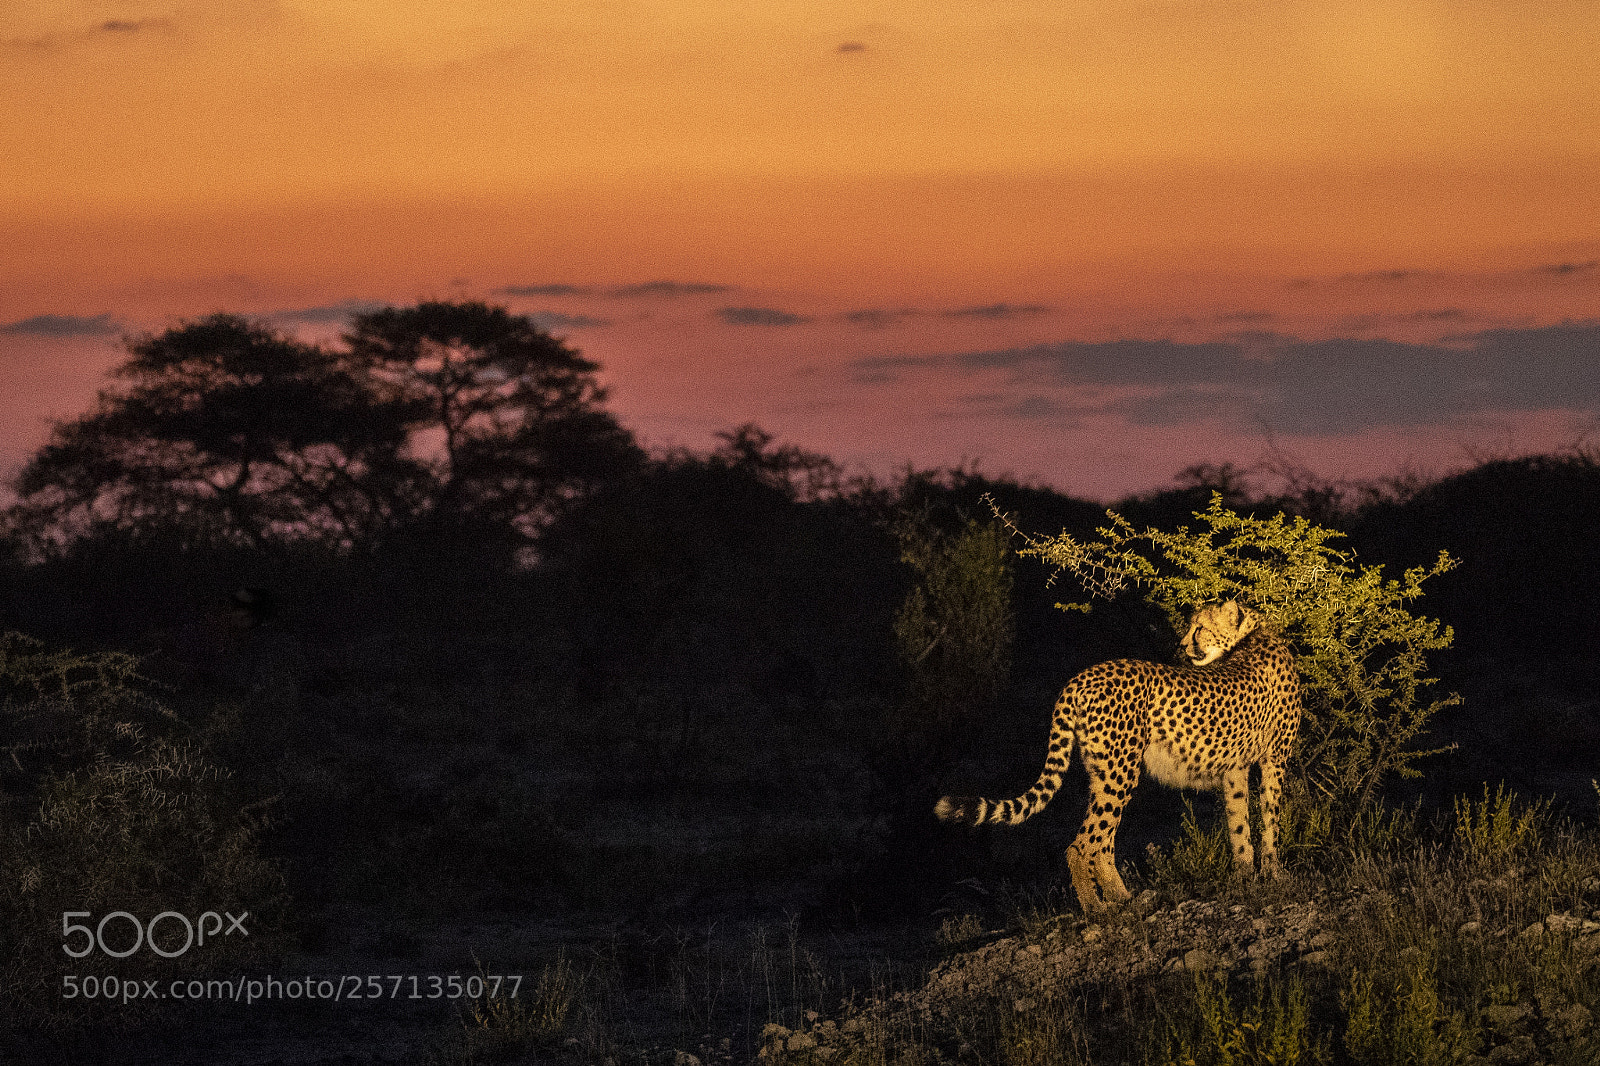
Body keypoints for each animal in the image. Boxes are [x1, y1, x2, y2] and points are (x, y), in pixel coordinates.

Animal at [934, 599, 1301, 913]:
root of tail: (1083, 675)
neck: (1250, 637)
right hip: (1120, 773)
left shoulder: (1236, 769)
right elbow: (1270, 818)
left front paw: (1245, 874)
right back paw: (1098, 909)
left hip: (1103, 772)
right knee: (1083, 844)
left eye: (1199, 628)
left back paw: (1122, 897)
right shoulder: (1274, 760)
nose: (1181, 647)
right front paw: (1274, 872)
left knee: (1102, 843)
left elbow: (1239, 823)